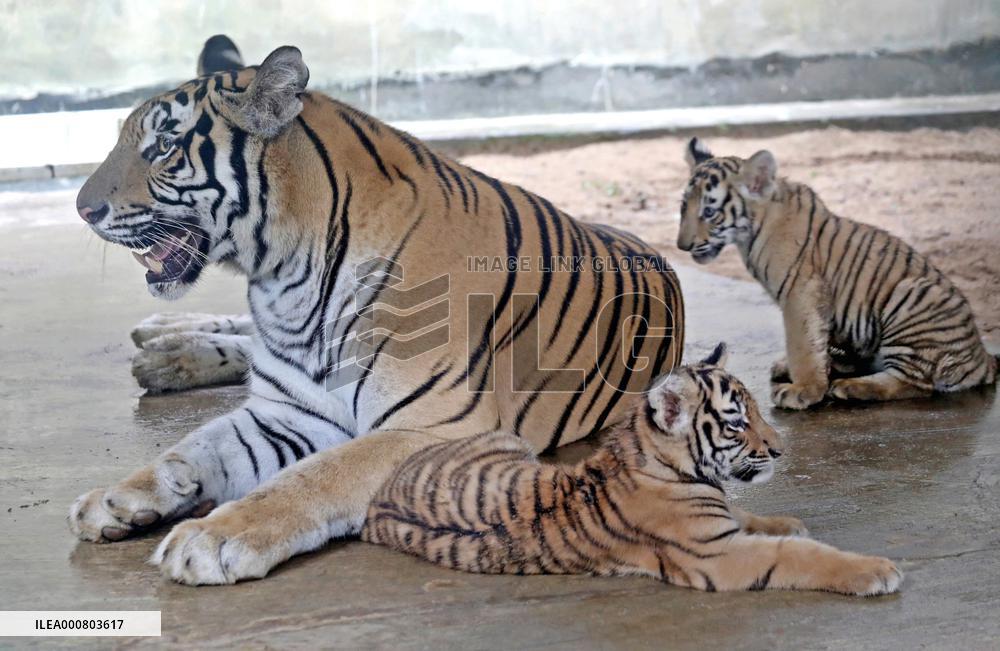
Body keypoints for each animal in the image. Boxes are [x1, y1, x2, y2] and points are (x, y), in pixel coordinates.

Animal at [67, 38, 685, 587]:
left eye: (165, 145)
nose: (81, 208)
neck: (284, 280)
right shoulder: (284, 411)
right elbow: (192, 448)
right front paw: (116, 499)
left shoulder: (436, 428)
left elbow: (313, 478)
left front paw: (210, 537)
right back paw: (164, 342)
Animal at [363, 343, 902, 596]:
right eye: (737, 422)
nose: (780, 450)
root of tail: (380, 494)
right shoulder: (717, 555)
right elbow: (795, 555)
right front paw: (876, 570)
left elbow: (750, 516)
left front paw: (786, 521)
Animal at [678, 137, 998, 410]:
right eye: (683, 208)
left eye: (709, 212)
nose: (682, 246)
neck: (751, 231)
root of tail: (983, 358)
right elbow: (817, 340)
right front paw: (805, 372)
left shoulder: (800, 292)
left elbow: (802, 343)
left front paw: (803, 390)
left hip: (911, 297)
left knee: (915, 383)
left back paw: (850, 387)